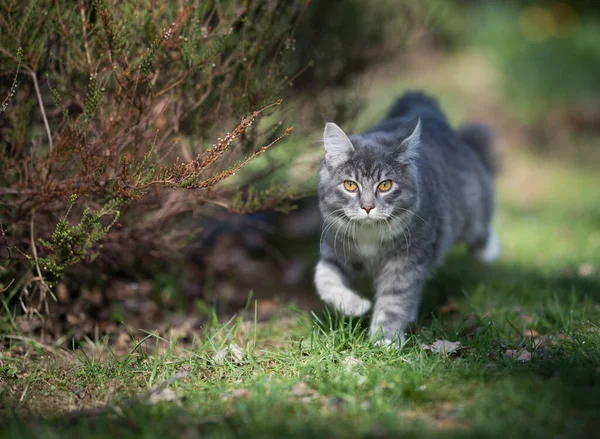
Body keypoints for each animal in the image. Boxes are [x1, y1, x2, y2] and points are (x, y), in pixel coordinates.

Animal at [312, 92, 500, 348]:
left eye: (385, 185)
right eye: (350, 185)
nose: (367, 207)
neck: (370, 235)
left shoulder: (407, 259)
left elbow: (394, 300)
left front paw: (385, 339)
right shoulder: (335, 246)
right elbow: (324, 277)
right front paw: (355, 305)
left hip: (472, 213)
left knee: (480, 229)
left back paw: (489, 251)